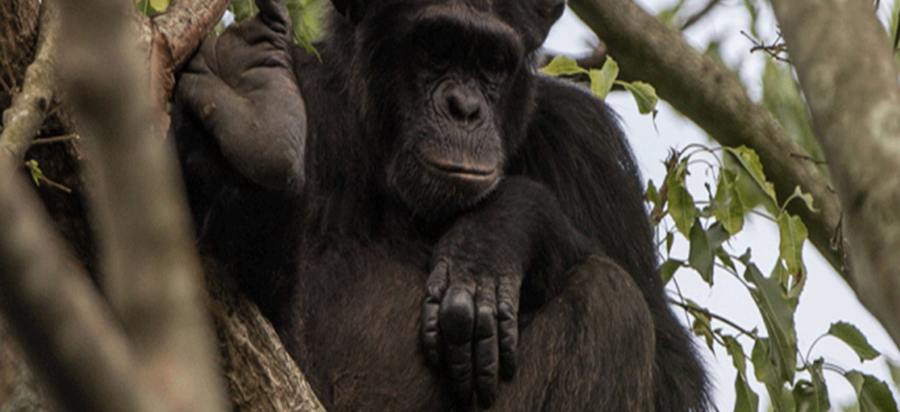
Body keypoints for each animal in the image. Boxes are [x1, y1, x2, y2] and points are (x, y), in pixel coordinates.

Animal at [169, 0, 712, 408]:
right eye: (436, 45)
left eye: (492, 61)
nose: (464, 108)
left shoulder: (587, 145)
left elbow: (671, 371)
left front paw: (499, 231)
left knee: (612, 304)